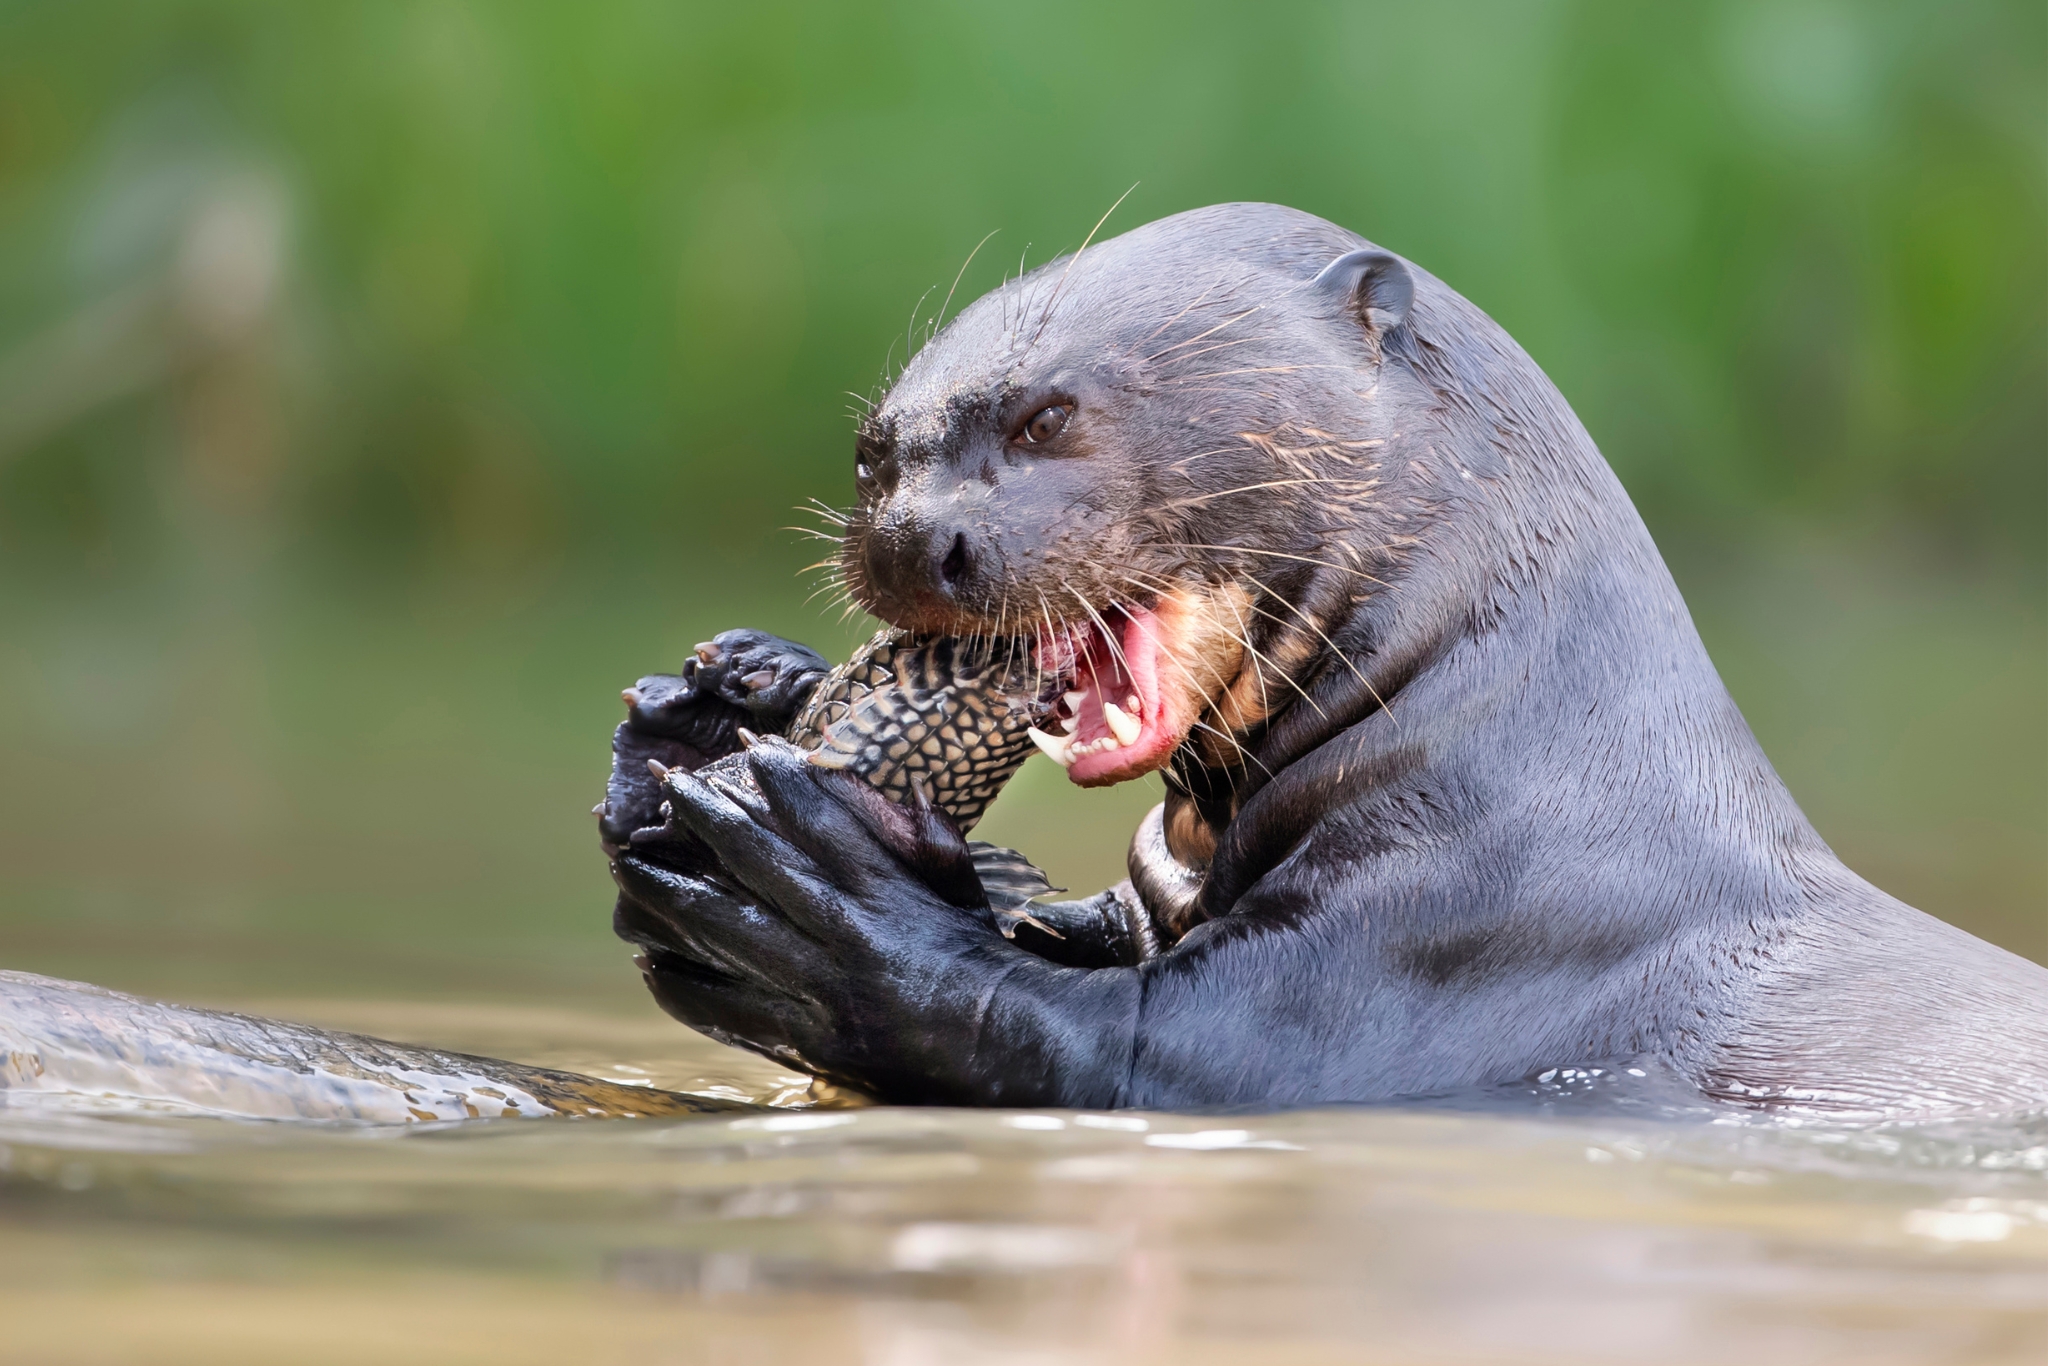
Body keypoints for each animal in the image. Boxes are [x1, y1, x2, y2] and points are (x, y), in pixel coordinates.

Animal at [607, 202, 2048, 1118]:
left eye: (1048, 414)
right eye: (872, 453)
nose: (912, 535)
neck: (1521, 746)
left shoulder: (1456, 931)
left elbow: (1113, 1041)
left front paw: (808, 893)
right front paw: (712, 703)